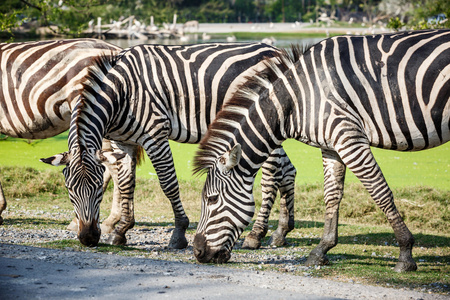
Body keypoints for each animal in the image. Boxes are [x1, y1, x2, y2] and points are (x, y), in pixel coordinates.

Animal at [40, 42, 298, 248]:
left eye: (97, 190)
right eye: (69, 190)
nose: (88, 238)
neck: (121, 93)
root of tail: (276, 50)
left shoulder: (155, 134)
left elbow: (168, 184)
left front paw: (179, 233)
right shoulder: (124, 143)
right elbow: (125, 184)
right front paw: (121, 231)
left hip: (264, 124)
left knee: (272, 175)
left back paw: (256, 235)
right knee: (288, 170)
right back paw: (281, 232)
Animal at [192, 29, 450, 272]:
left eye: (212, 199)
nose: (197, 252)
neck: (299, 100)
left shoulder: (349, 136)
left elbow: (380, 191)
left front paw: (405, 254)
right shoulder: (332, 146)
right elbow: (331, 196)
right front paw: (321, 250)